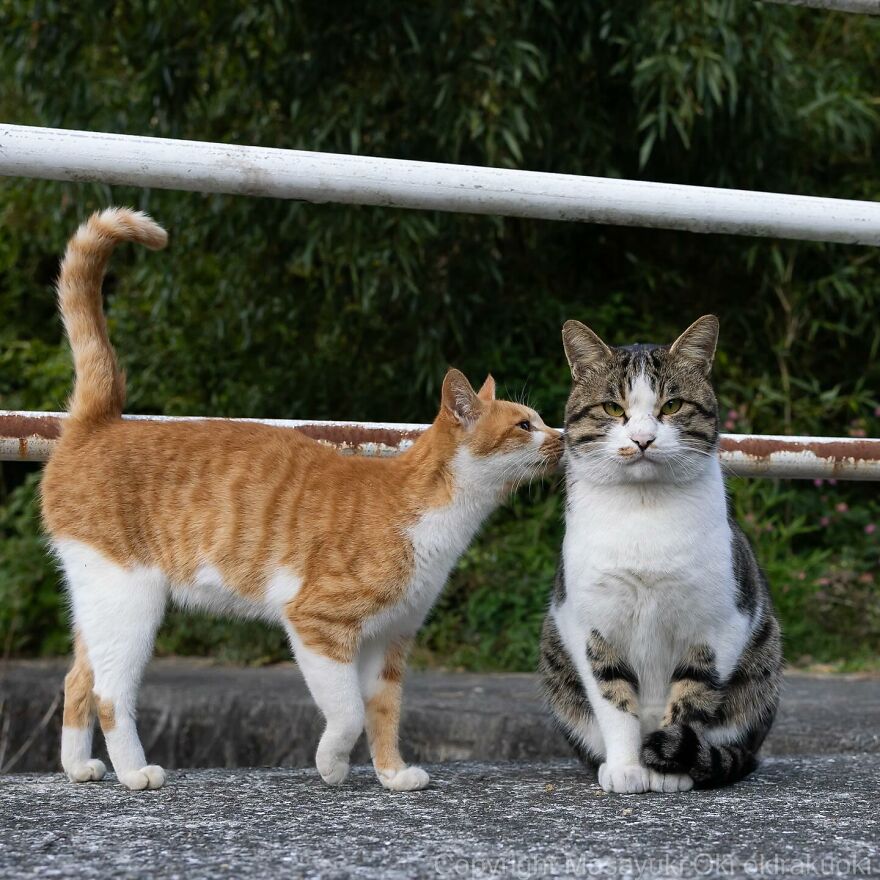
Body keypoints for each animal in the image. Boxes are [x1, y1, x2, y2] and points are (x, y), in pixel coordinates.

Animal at [41, 210, 564, 796]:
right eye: (525, 426)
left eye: (540, 421)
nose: (562, 436)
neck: (438, 517)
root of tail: (97, 423)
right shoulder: (317, 623)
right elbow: (348, 712)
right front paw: (332, 766)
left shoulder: (390, 640)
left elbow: (384, 712)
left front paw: (392, 774)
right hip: (130, 599)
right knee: (110, 692)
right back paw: (135, 771)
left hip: (98, 599)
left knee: (77, 678)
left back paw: (78, 767)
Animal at [540, 314, 780, 792]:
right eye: (613, 409)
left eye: (672, 406)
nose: (643, 439)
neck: (644, 510)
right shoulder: (590, 624)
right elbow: (612, 698)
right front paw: (627, 767)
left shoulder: (720, 623)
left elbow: (693, 696)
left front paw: (670, 767)